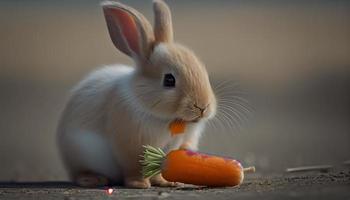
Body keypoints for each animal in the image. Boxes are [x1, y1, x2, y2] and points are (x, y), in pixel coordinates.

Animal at [55, 0, 216, 188]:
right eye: (169, 80)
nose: (203, 107)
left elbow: (161, 168)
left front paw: (166, 182)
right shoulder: (130, 146)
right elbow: (135, 167)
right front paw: (139, 184)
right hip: (79, 155)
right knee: (78, 174)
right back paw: (93, 179)